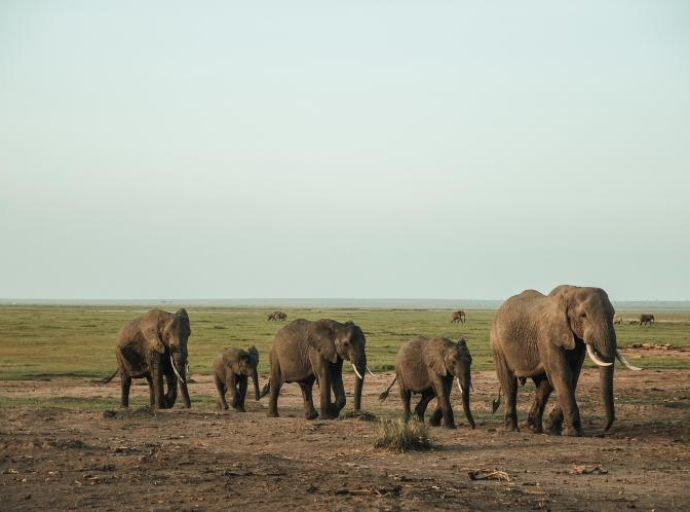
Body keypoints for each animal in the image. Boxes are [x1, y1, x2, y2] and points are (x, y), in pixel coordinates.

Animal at [490, 284, 640, 436]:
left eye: (612, 314)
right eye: (583, 315)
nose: (604, 429)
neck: (573, 293)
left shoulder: (577, 341)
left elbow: (572, 376)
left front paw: (553, 430)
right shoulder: (548, 335)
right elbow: (561, 375)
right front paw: (574, 432)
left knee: (543, 387)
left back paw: (535, 429)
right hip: (497, 342)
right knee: (509, 384)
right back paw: (512, 429)